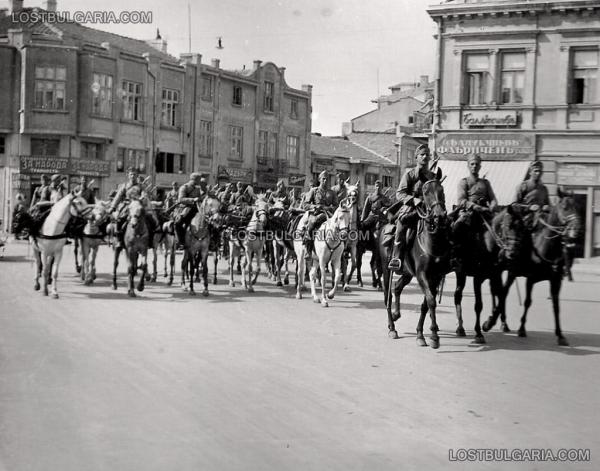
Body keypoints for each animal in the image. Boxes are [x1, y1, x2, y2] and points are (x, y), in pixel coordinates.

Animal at [380, 179, 450, 348]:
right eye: (425, 192)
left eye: (442, 190)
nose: (439, 215)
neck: (432, 243)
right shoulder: (421, 275)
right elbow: (431, 301)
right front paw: (434, 336)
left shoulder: (435, 277)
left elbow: (427, 304)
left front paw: (422, 334)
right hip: (386, 270)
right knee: (387, 296)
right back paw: (392, 327)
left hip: (407, 273)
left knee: (397, 288)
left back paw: (396, 314)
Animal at [482, 190, 580, 348]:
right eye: (565, 207)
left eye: (577, 207)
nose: (576, 229)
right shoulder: (528, 278)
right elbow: (526, 301)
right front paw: (516, 328)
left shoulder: (555, 281)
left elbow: (556, 306)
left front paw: (560, 335)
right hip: (504, 271)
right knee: (500, 292)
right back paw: (495, 321)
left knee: (498, 291)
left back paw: (503, 323)